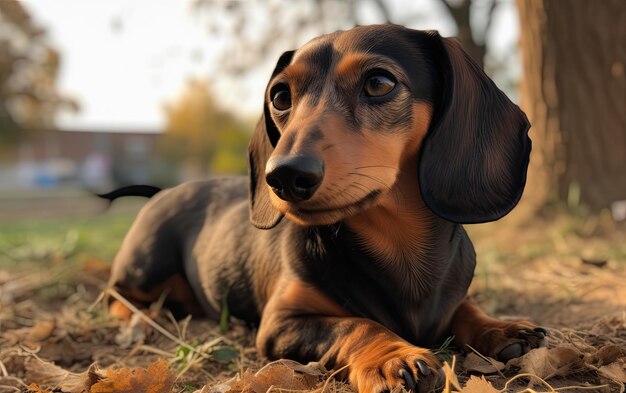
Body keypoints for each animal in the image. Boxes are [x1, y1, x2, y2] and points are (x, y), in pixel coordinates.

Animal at [108, 24, 544, 392]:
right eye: (280, 96)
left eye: (379, 82)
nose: (283, 176)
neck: (400, 247)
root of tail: (164, 192)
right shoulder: (281, 324)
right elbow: (357, 324)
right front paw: (394, 358)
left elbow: (466, 309)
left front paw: (502, 328)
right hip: (143, 269)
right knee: (119, 295)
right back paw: (142, 318)